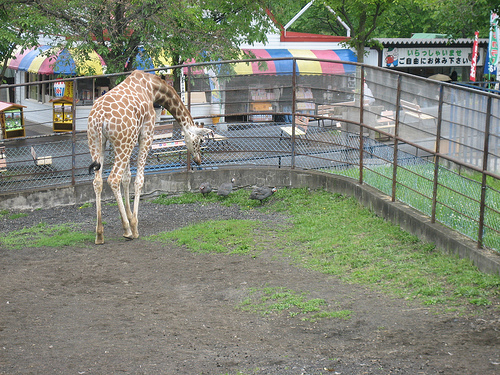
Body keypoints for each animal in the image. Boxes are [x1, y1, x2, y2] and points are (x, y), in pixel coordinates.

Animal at [88, 69, 213, 245]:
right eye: (201, 140)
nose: (198, 160)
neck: (153, 88)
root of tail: (99, 118)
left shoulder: (129, 139)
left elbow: (127, 178)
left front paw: (129, 216)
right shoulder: (146, 133)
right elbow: (139, 180)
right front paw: (134, 223)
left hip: (98, 142)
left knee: (98, 181)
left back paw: (99, 234)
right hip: (121, 142)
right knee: (112, 179)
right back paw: (127, 230)